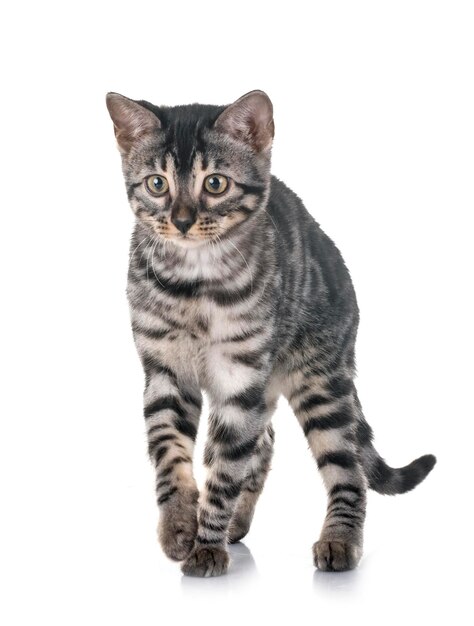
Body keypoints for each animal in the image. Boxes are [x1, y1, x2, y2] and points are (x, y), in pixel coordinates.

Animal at [105, 89, 436, 576]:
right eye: (157, 184)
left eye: (215, 184)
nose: (181, 220)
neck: (194, 282)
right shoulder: (165, 372)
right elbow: (170, 452)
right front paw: (180, 524)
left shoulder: (240, 376)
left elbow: (225, 469)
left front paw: (206, 545)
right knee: (262, 441)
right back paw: (238, 521)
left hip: (321, 382)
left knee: (346, 468)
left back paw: (339, 539)